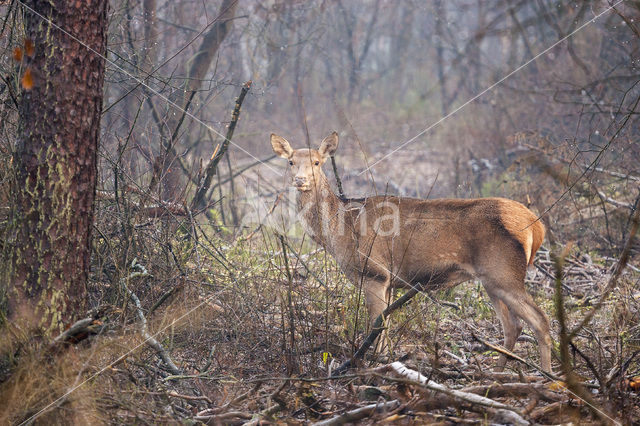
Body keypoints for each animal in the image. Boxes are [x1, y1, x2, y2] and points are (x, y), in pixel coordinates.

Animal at [270, 131, 552, 372]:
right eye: (291, 162)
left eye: (317, 162)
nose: (300, 180)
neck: (337, 231)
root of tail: (537, 226)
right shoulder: (388, 281)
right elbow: (385, 325)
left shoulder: (374, 272)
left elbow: (377, 325)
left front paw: (377, 362)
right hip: (491, 280)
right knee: (513, 326)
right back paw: (500, 372)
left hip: (503, 271)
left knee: (540, 320)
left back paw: (549, 376)